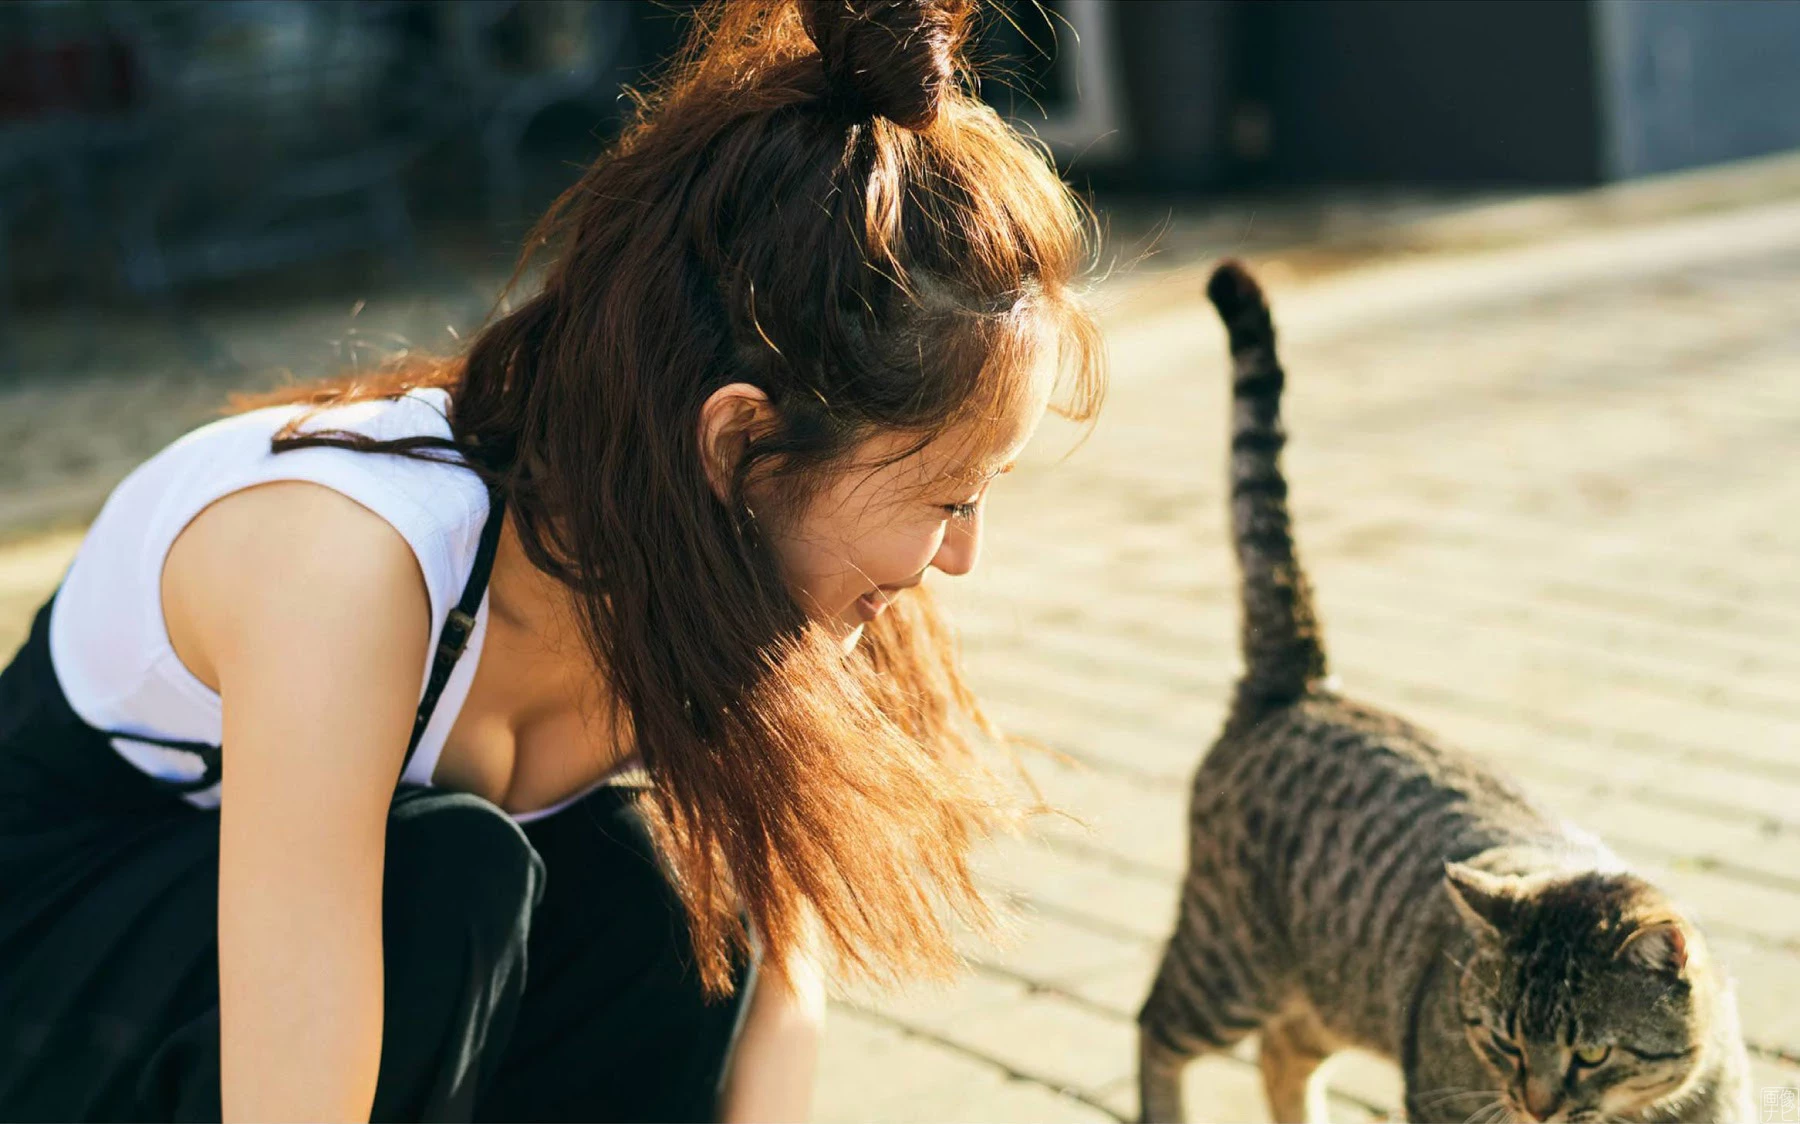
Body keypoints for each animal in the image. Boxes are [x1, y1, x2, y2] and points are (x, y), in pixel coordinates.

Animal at [1137, 261, 1742, 1124]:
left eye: (1593, 1054)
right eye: (1502, 1040)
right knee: (1158, 1025)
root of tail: (1299, 684)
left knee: (1283, 1053)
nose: (1536, 1105)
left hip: (1327, 988)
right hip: (1230, 964)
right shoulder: (1438, 1087)